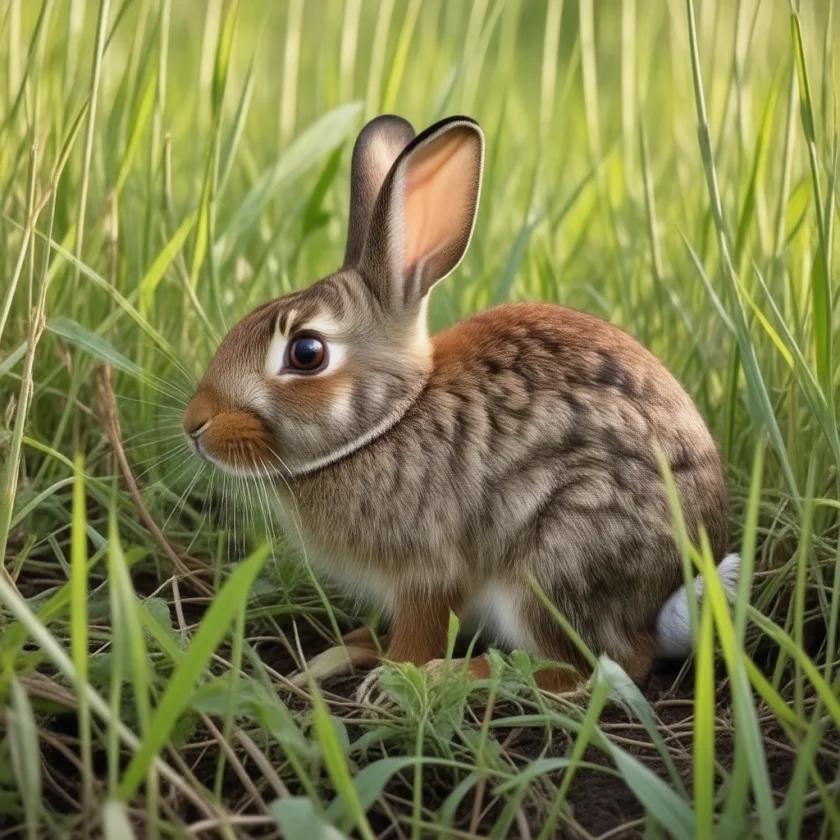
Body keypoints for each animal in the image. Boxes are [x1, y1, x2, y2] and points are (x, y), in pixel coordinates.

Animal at [183, 114, 740, 692]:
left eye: (307, 352)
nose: (194, 425)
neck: (390, 421)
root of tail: (666, 602)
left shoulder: (428, 568)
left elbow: (419, 631)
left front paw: (394, 679)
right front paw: (340, 654)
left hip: (555, 561)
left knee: (582, 669)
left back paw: (456, 674)